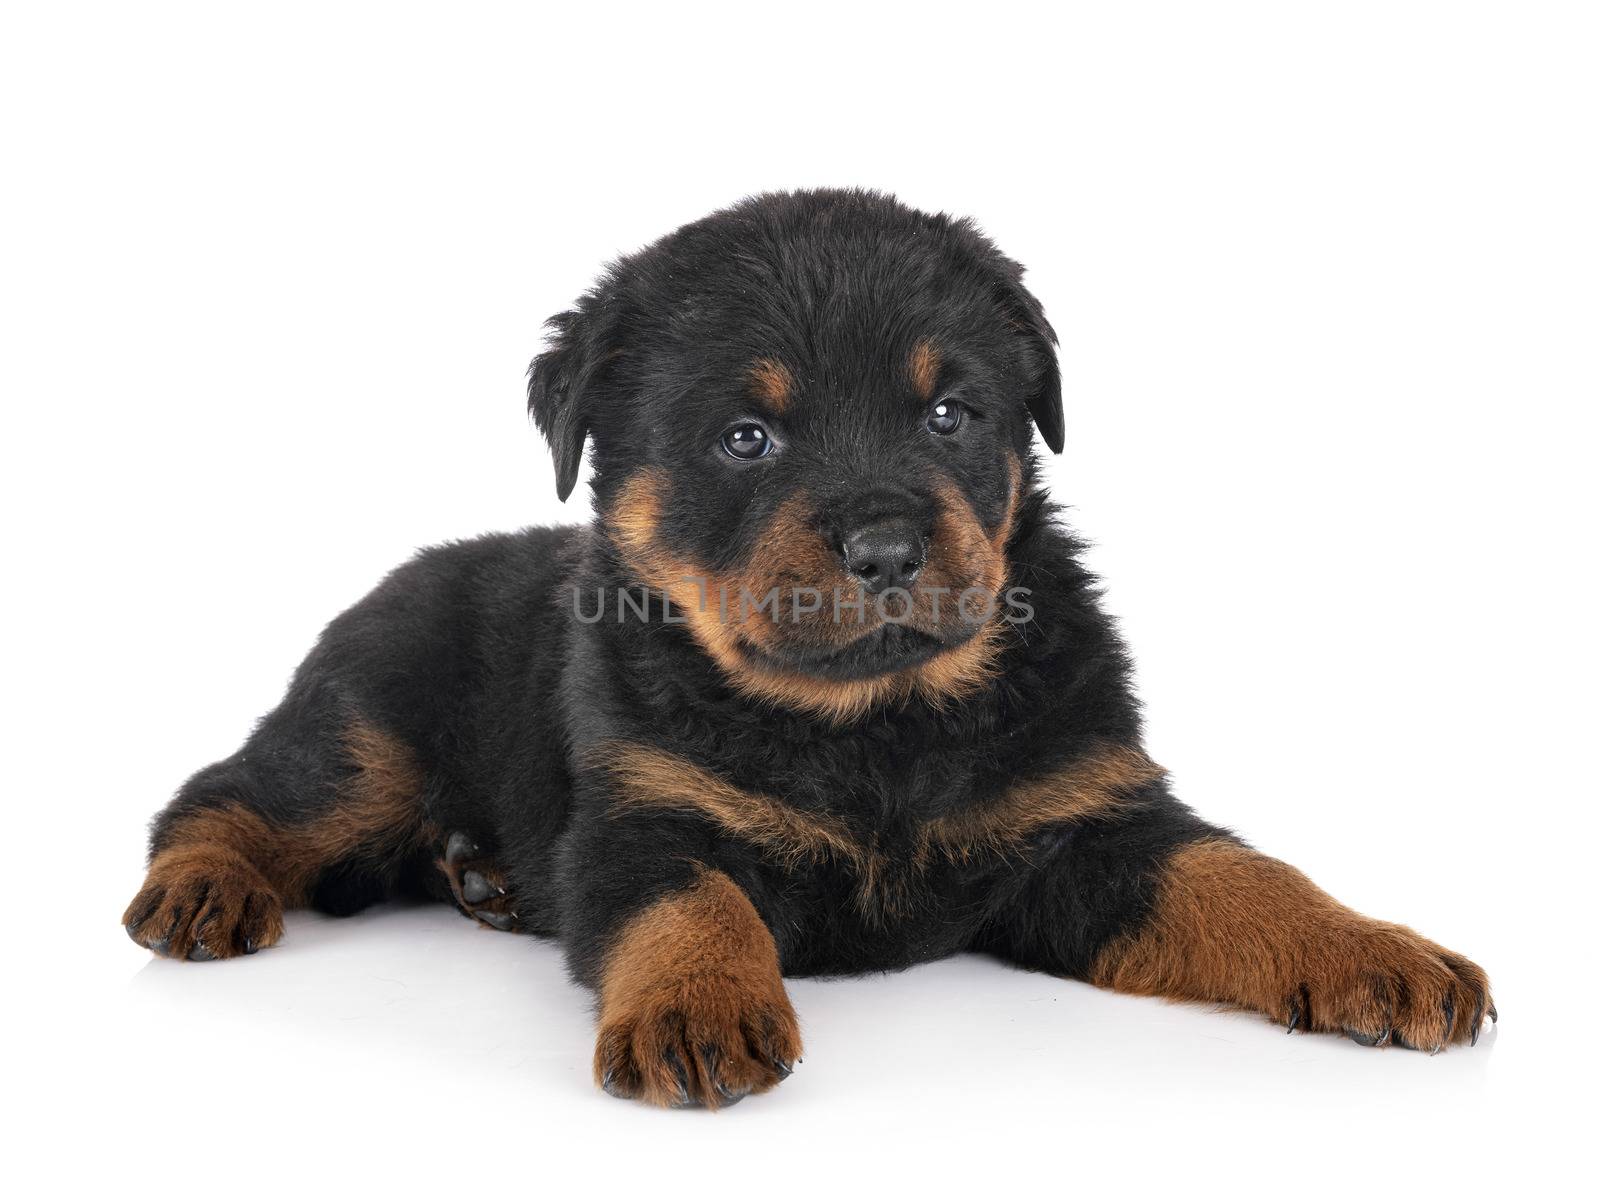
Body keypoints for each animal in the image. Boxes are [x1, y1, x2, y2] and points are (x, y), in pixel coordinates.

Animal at [121, 190, 1484, 1106]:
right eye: (746, 437)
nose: (883, 545)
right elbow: (692, 898)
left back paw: (483, 878)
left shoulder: (1090, 820)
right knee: (229, 792)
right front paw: (695, 1005)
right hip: (367, 728)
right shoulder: (643, 813)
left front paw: (1378, 951)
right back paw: (204, 888)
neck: (877, 726)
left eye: (950, 412)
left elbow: (1241, 878)